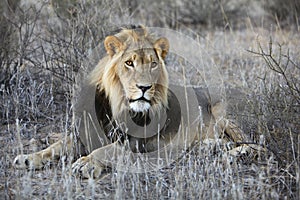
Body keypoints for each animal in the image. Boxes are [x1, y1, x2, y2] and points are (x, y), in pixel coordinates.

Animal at [12, 26, 252, 178]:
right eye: (129, 63)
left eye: (153, 64)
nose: (144, 87)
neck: (117, 104)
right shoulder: (88, 131)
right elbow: (56, 146)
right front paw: (28, 158)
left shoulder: (137, 143)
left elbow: (106, 150)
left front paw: (86, 163)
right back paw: (211, 147)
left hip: (226, 114)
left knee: (255, 144)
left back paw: (232, 153)